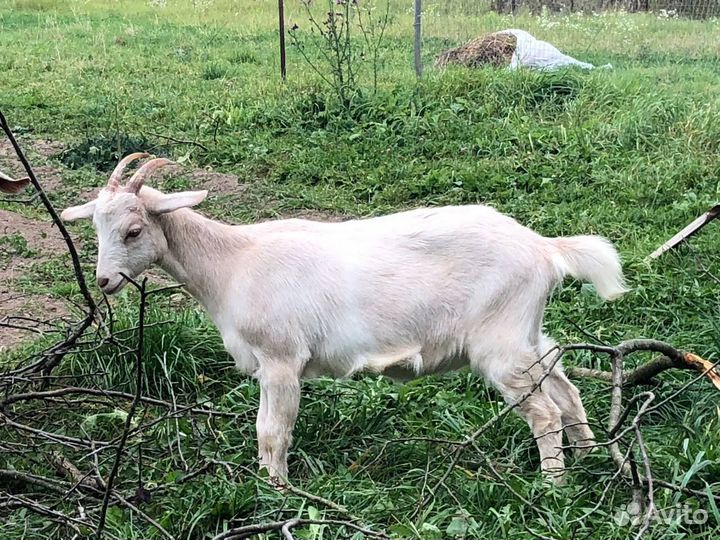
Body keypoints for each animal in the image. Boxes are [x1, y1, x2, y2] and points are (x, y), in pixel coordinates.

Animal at [61, 154, 627, 483]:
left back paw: (552, 485)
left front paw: (276, 491)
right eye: (95, 227)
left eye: (135, 230)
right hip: (527, 333)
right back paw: (595, 460)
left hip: (500, 343)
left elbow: (273, 430)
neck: (233, 263)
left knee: (543, 411)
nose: (105, 281)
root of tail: (545, 248)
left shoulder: (282, 358)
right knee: (564, 386)